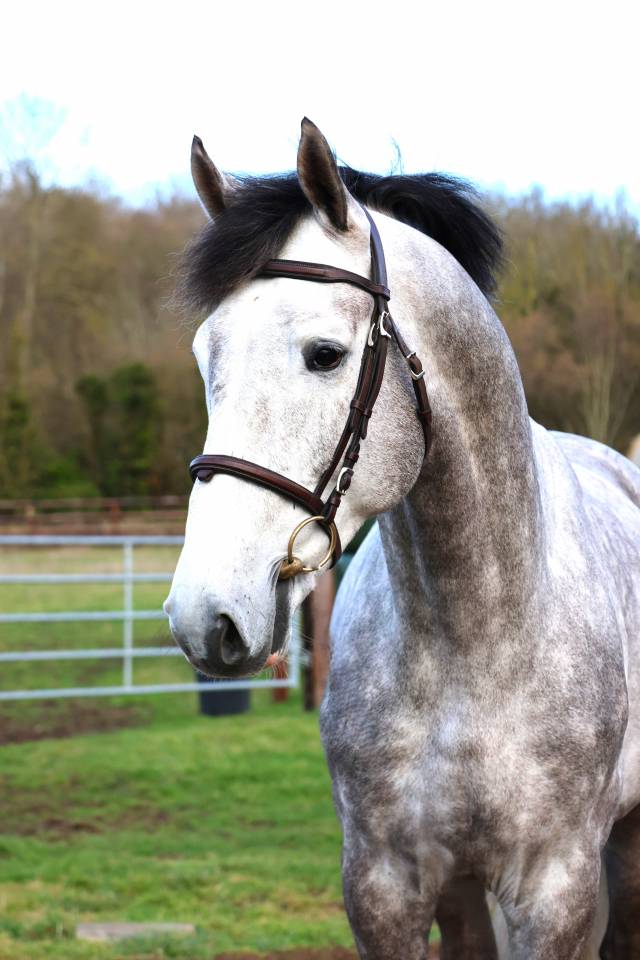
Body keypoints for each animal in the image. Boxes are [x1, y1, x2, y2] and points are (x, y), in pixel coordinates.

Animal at [164, 118, 640, 959]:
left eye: (324, 354)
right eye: (204, 356)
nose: (204, 616)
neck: (475, 640)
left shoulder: (555, 892)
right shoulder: (385, 886)